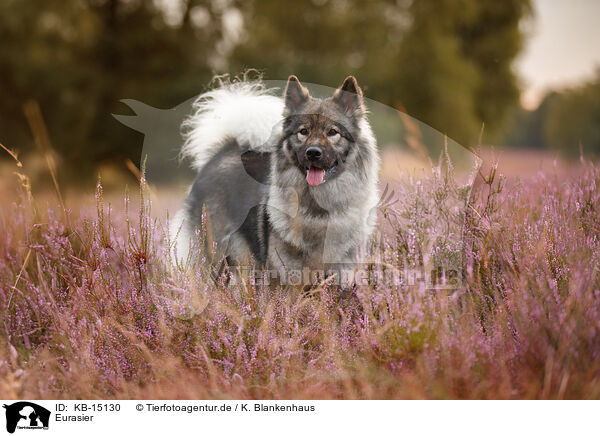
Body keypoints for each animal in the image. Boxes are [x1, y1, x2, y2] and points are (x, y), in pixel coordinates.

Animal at [171, 75, 380, 286]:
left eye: (332, 132)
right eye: (303, 131)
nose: (313, 153)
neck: (318, 208)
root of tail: (223, 151)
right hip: (216, 258)